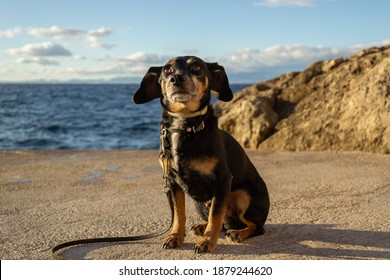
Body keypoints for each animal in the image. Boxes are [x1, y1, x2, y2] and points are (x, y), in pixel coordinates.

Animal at [133, 55, 270, 253]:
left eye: (197, 67)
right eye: (167, 70)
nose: (176, 78)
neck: (184, 125)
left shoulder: (222, 181)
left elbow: (215, 216)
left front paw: (207, 241)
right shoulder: (173, 182)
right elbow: (179, 215)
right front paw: (175, 236)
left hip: (245, 195)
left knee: (255, 226)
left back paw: (238, 233)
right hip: (200, 203)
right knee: (223, 222)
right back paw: (202, 226)